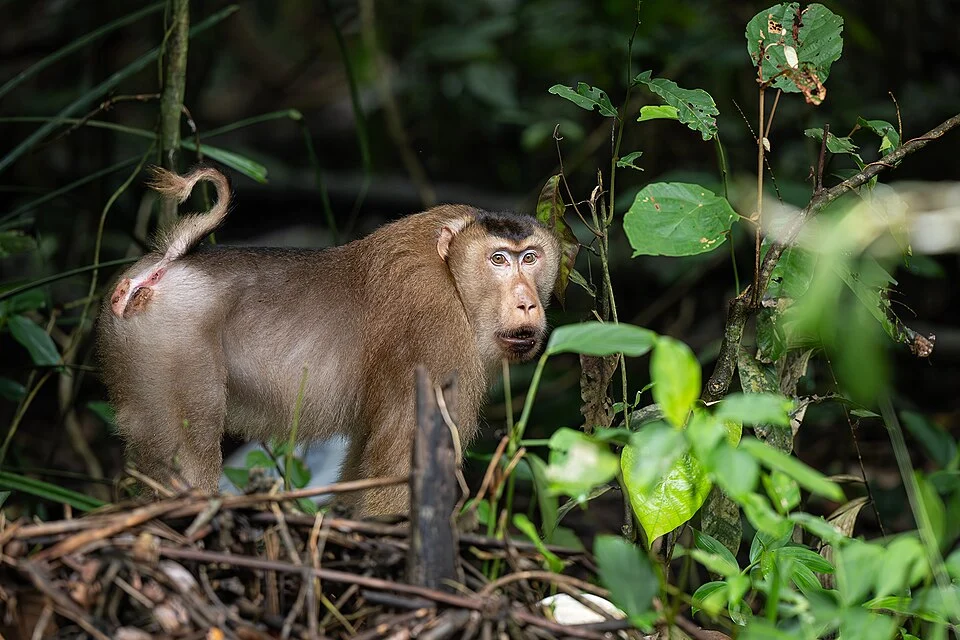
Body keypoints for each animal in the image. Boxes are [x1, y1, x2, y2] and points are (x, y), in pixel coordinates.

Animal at [97, 166, 561, 516]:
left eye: (530, 258)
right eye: (498, 259)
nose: (526, 304)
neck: (451, 273)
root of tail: (164, 266)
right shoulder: (437, 339)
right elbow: (400, 474)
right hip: (174, 346)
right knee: (188, 465)